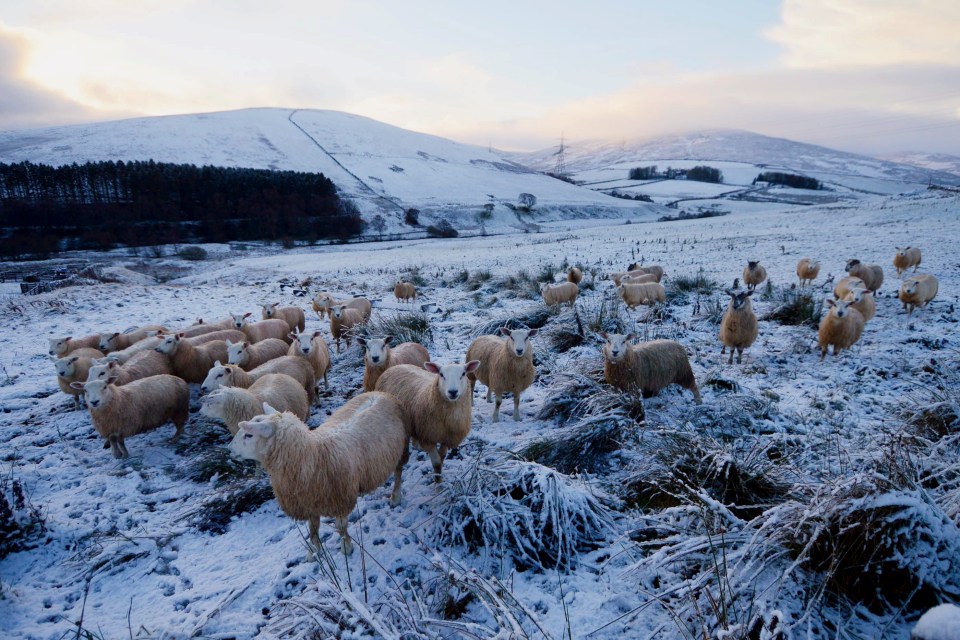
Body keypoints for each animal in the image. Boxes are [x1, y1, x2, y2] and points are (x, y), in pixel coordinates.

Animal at [232, 390, 412, 556]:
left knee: (398, 473)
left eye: (249, 435)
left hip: (401, 448)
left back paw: (395, 497)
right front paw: (314, 553)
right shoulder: (309, 503)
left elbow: (341, 527)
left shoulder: (340, 498)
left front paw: (346, 547)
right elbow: (313, 530)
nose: (230, 449)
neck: (312, 456)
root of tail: (381, 393)